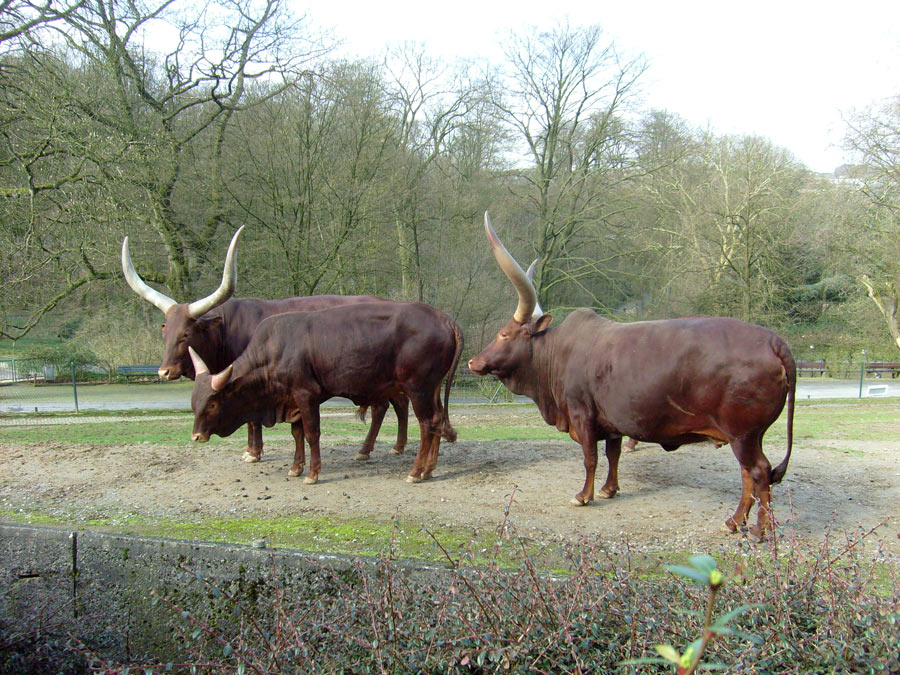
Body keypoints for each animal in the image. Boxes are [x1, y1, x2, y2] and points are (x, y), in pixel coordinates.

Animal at [121, 230, 410, 462]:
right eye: (166, 331)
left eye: (187, 333)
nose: (164, 372)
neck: (229, 328)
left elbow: (252, 419)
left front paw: (253, 453)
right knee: (397, 403)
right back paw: (394, 446)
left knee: (386, 407)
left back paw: (367, 450)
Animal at [185, 302, 460, 486]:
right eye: (194, 403)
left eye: (212, 404)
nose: (196, 436)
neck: (275, 349)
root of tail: (444, 319)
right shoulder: (292, 401)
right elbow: (297, 434)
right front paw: (296, 467)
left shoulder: (306, 395)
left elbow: (311, 434)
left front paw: (312, 473)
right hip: (432, 390)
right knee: (437, 420)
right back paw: (429, 469)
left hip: (419, 389)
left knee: (427, 424)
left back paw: (415, 472)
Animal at [472, 214, 796, 540]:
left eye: (503, 334)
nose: (475, 361)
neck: (558, 352)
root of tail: (773, 341)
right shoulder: (612, 419)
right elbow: (613, 454)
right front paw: (609, 489)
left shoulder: (581, 413)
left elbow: (590, 456)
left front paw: (584, 495)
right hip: (745, 436)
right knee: (749, 475)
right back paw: (734, 522)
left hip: (743, 434)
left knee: (759, 472)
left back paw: (758, 529)